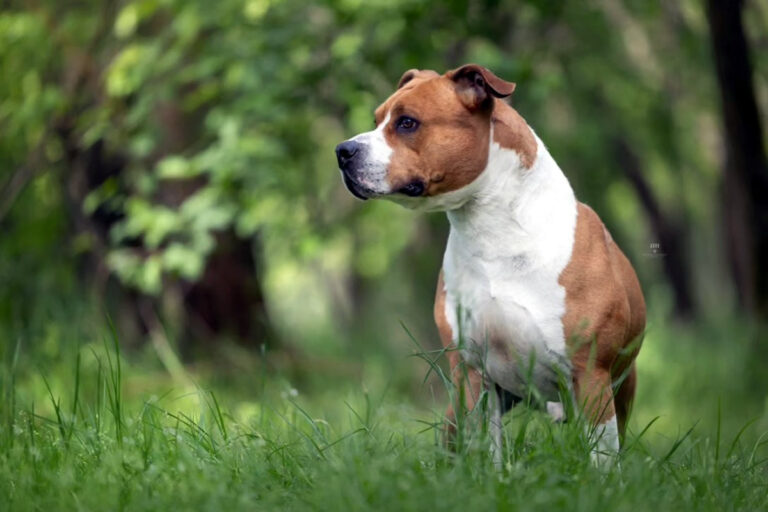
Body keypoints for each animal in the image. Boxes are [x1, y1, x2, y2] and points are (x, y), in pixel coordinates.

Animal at [334, 64, 640, 464]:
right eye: (376, 120)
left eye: (406, 123)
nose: (342, 151)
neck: (496, 233)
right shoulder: (471, 370)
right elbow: (485, 448)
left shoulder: (591, 373)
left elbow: (602, 459)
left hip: (620, 389)